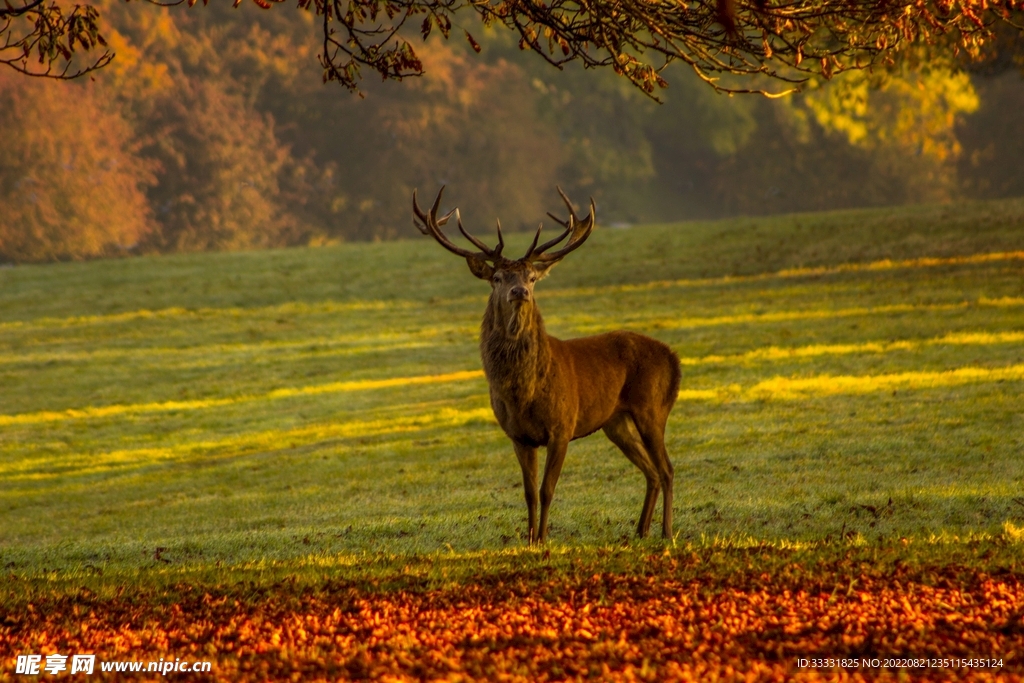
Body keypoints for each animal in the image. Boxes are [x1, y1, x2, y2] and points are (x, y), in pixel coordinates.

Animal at [413, 187, 681, 543]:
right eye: (497, 277)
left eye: (531, 277)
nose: (519, 291)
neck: (523, 393)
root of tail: (674, 359)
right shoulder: (518, 436)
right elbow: (528, 492)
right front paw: (529, 540)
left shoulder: (562, 426)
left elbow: (547, 490)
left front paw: (543, 539)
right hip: (616, 421)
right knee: (651, 470)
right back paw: (640, 530)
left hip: (652, 408)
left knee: (667, 468)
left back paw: (666, 531)